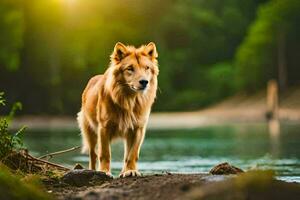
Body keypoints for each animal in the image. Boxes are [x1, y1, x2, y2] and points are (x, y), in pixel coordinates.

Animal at [77, 41, 159, 177]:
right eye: (130, 68)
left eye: (147, 68)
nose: (144, 82)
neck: (129, 100)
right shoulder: (104, 128)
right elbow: (105, 154)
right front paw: (104, 171)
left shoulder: (138, 129)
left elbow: (132, 154)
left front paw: (130, 171)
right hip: (89, 131)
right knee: (93, 154)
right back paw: (92, 170)